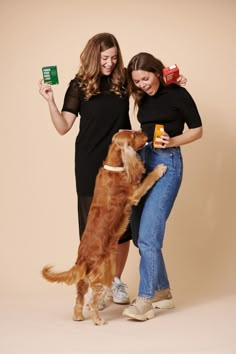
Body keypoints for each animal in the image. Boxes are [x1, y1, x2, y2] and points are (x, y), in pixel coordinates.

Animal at [42, 129, 168, 324]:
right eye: (133, 135)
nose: (144, 133)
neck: (114, 166)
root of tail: (82, 260)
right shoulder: (134, 194)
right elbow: (148, 180)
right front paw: (159, 169)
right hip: (101, 274)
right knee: (93, 301)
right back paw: (98, 320)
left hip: (83, 281)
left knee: (79, 299)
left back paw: (78, 317)